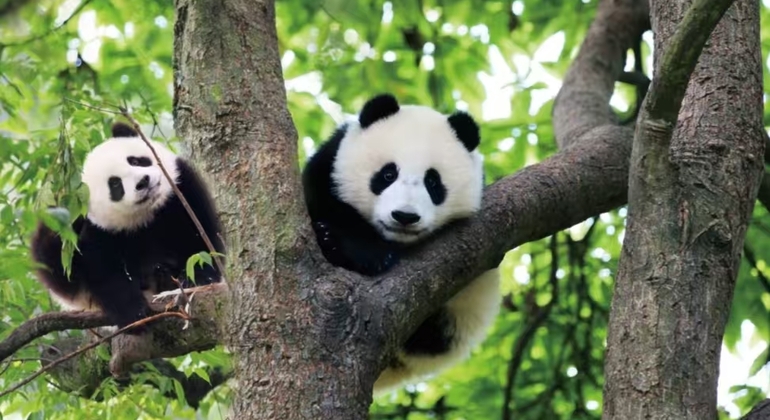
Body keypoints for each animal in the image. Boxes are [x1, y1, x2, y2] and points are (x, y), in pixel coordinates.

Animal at [30, 122, 226, 334]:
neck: (147, 214)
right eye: (115, 184)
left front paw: (198, 278)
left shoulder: (182, 191)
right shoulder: (99, 232)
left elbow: (202, 236)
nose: (143, 181)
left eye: (135, 161)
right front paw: (135, 315)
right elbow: (105, 274)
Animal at [302, 93, 500, 395]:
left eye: (433, 182)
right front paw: (349, 245)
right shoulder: (329, 166)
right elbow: (322, 199)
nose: (404, 216)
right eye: (387, 175)